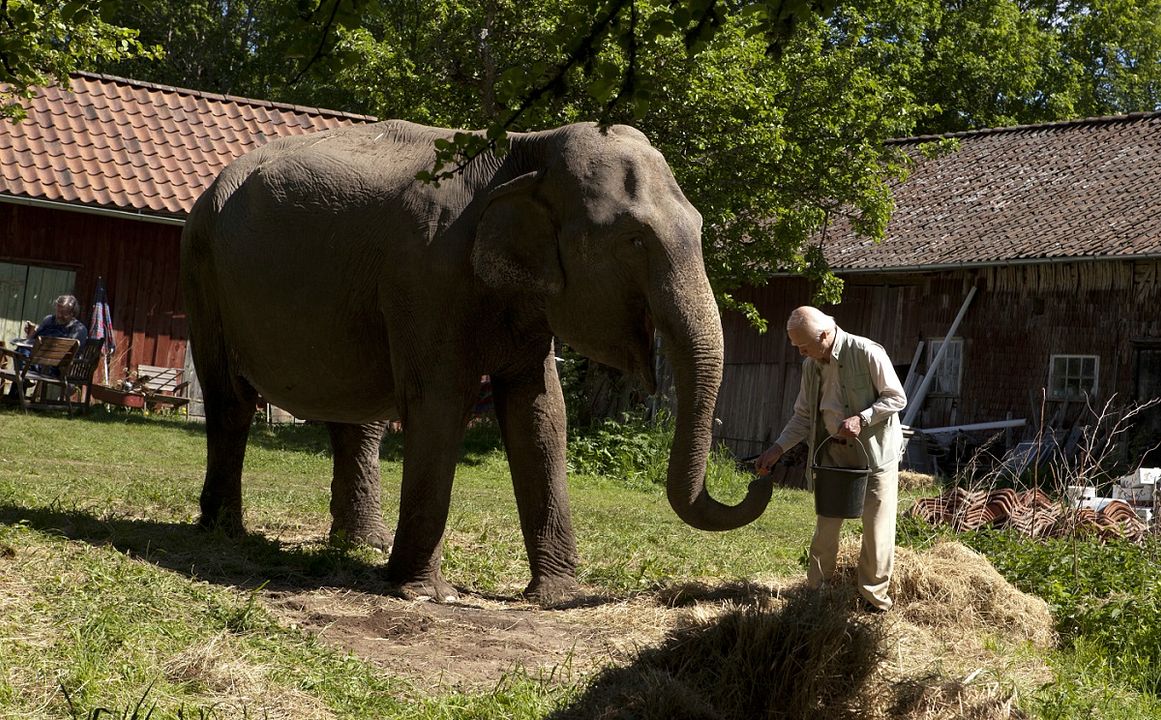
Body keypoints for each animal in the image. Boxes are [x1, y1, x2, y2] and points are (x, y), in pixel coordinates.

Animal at [181, 119, 775, 603]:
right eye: (633, 240)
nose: (758, 477)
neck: (528, 148)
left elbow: (540, 412)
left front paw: (556, 596)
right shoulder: (428, 272)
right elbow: (440, 402)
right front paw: (423, 593)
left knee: (356, 416)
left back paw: (362, 545)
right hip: (202, 265)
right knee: (230, 401)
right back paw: (224, 531)